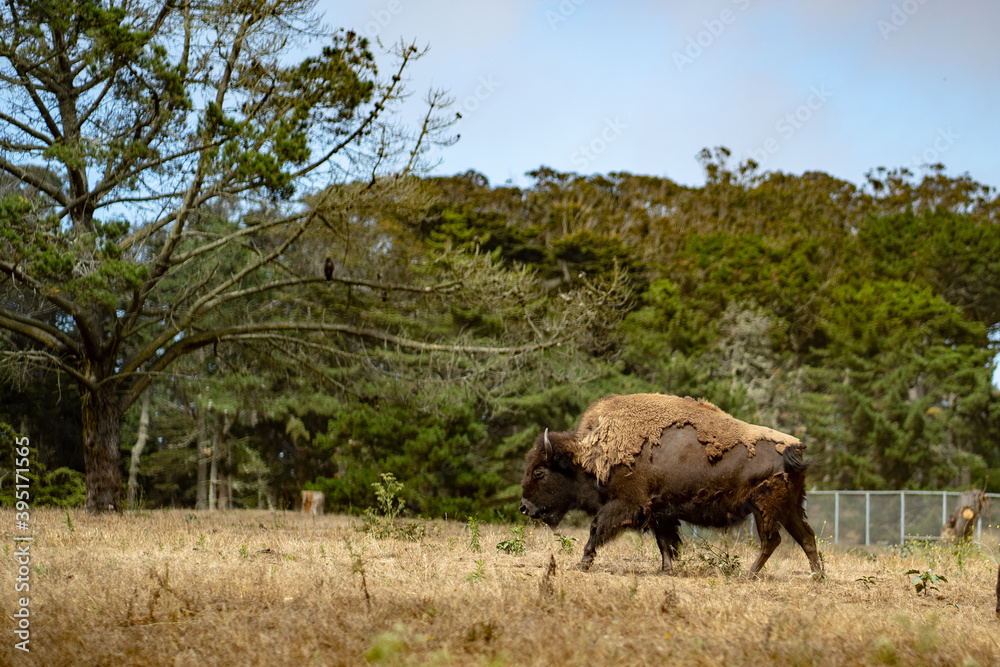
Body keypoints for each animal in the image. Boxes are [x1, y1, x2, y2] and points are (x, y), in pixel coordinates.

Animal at [519, 394, 823, 577]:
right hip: (789, 507)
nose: (524, 507)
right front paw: (666, 570)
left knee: (773, 540)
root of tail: (793, 447)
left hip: (765, 508)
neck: (593, 454)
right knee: (806, 537)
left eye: (539, 472)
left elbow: (596, 528)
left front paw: (583, 562)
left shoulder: (627, 504)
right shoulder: (658, 510)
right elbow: (664, 542)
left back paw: (749, 575)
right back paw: (817, 577)